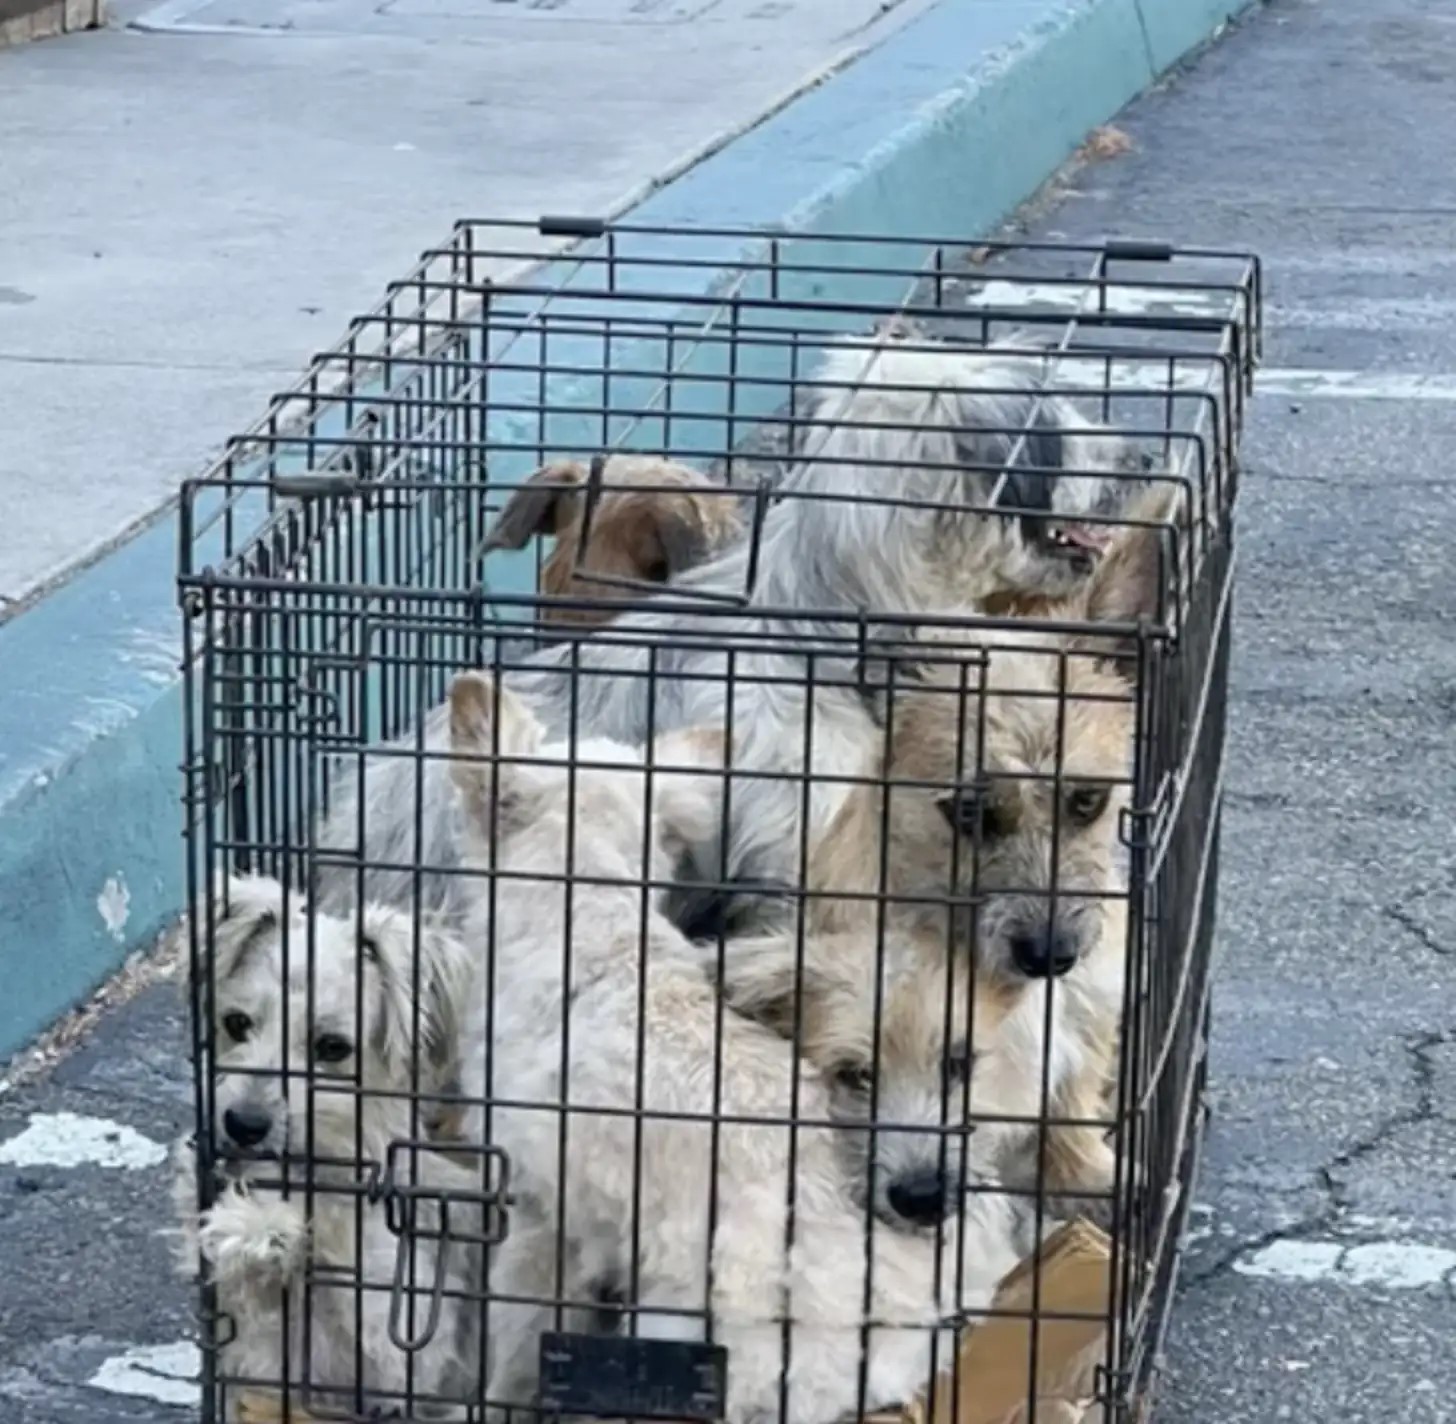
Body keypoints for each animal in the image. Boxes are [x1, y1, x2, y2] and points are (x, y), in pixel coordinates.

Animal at [170, 879, 489, 1409]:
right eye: (236, 1023)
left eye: (333, 1047)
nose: (243, 1124)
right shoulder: (260, 1358)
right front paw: (255, 1223)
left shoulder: (400, 1358)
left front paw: (264, 1223)